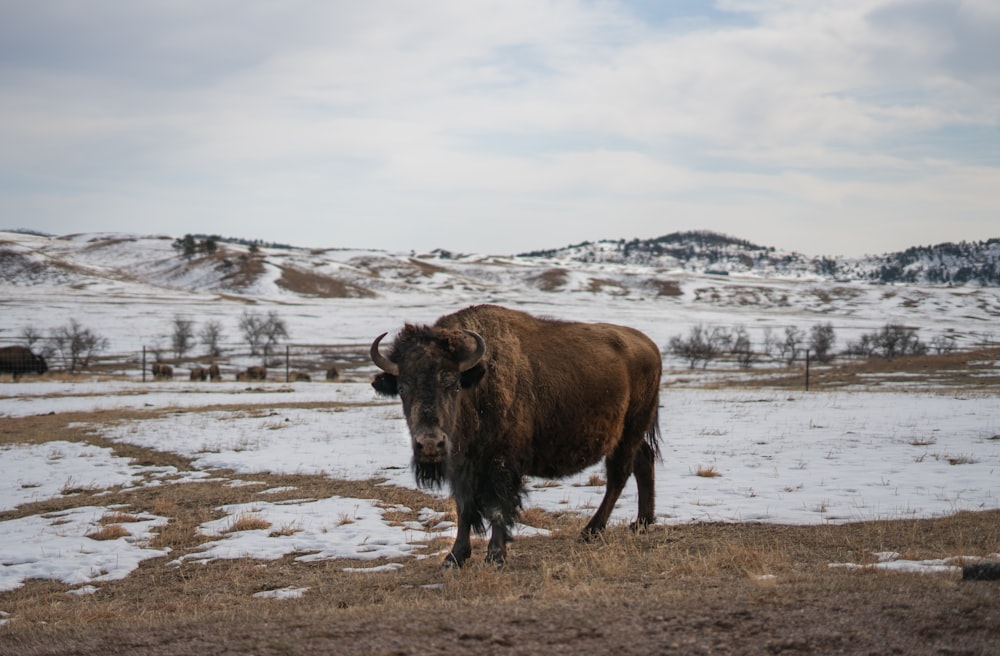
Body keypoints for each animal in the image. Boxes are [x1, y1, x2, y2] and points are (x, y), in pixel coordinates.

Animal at [372, 304, 660, 568]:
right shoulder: (460, 466)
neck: (478, 384)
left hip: (629, 432)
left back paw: (591, 531)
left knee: (618, 477)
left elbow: (500, 508)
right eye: (402, 388)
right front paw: (454, 558)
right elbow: (464, 509)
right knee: (643, 461)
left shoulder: (502, 463)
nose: (430, 443)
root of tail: (650, 346)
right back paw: (641, 522)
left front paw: (495, 556)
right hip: (630, 436)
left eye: (454, 384)